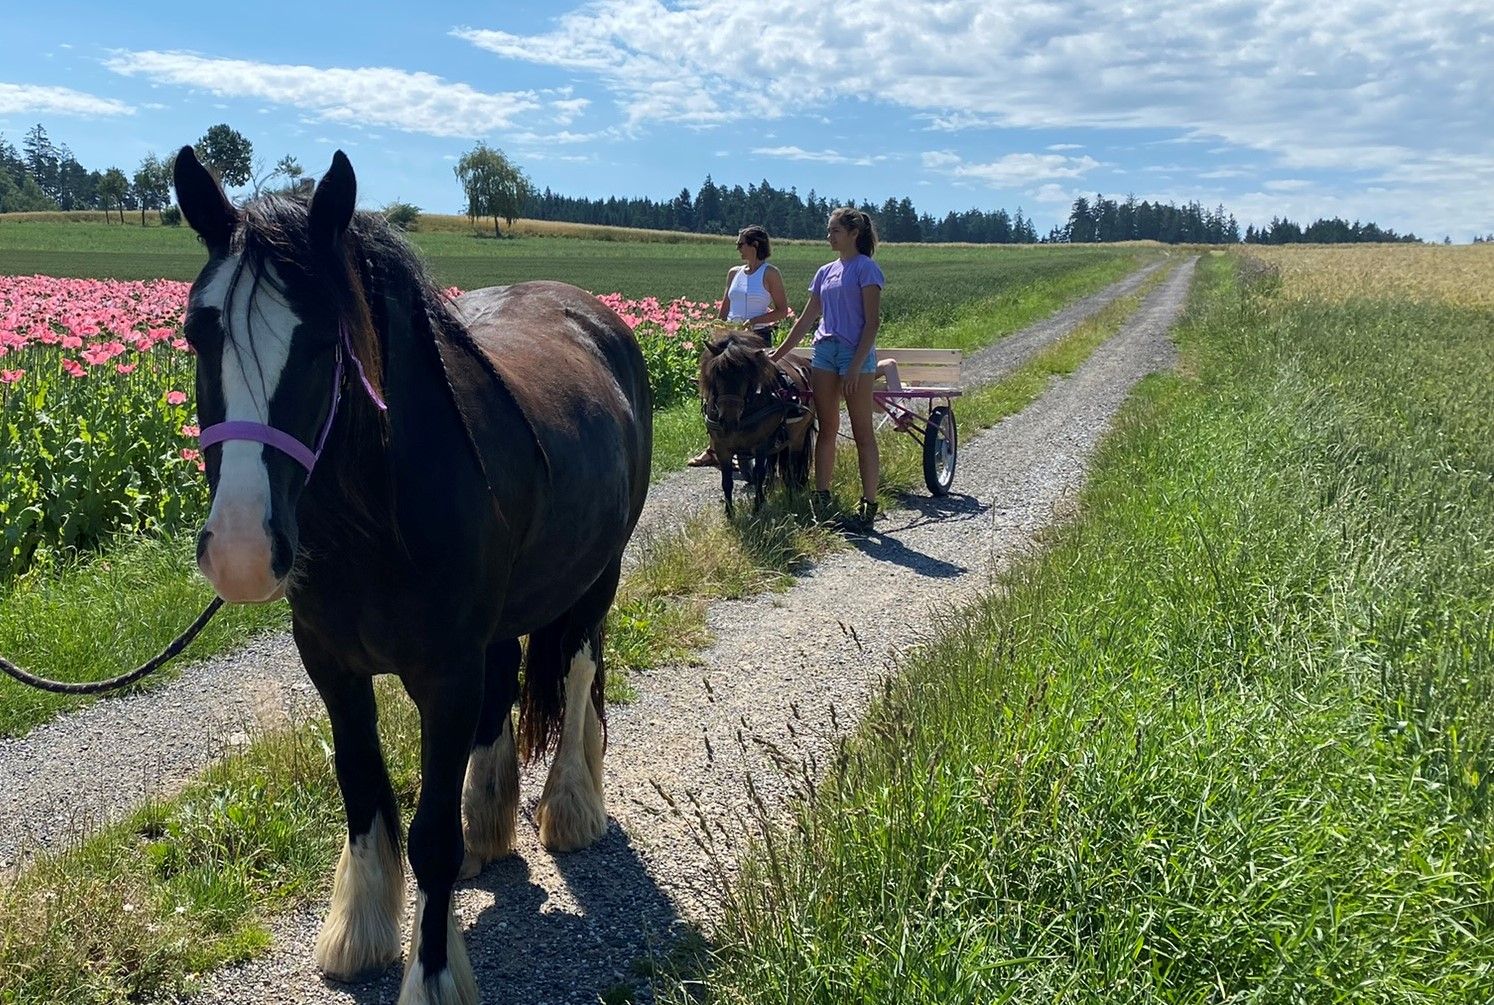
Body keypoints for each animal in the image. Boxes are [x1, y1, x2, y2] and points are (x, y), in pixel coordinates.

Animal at [173, 146, 651, 1005]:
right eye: (199, 331)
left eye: (324, 342)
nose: (241, 551)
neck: (378, 519)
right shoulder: (331, 666)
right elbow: (363, 787)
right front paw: (359, 929)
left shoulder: (444, 675)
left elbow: (427, 834)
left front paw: (430, 972)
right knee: (506, 679)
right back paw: (488, 821)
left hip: (600, 576)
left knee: (575, 671)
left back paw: (569, 806)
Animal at [698, 331, 815, 514]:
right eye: (717, 373)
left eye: (746, 376)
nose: (728, 421)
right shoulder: (722, 447)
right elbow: (727, 480)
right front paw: (729, 513)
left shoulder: (761, 444)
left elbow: (760, 473)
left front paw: (758, 506)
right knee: (774, 460)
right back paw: (771, 489)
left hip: (798, 435)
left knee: (792, 464)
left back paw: (792, 492)